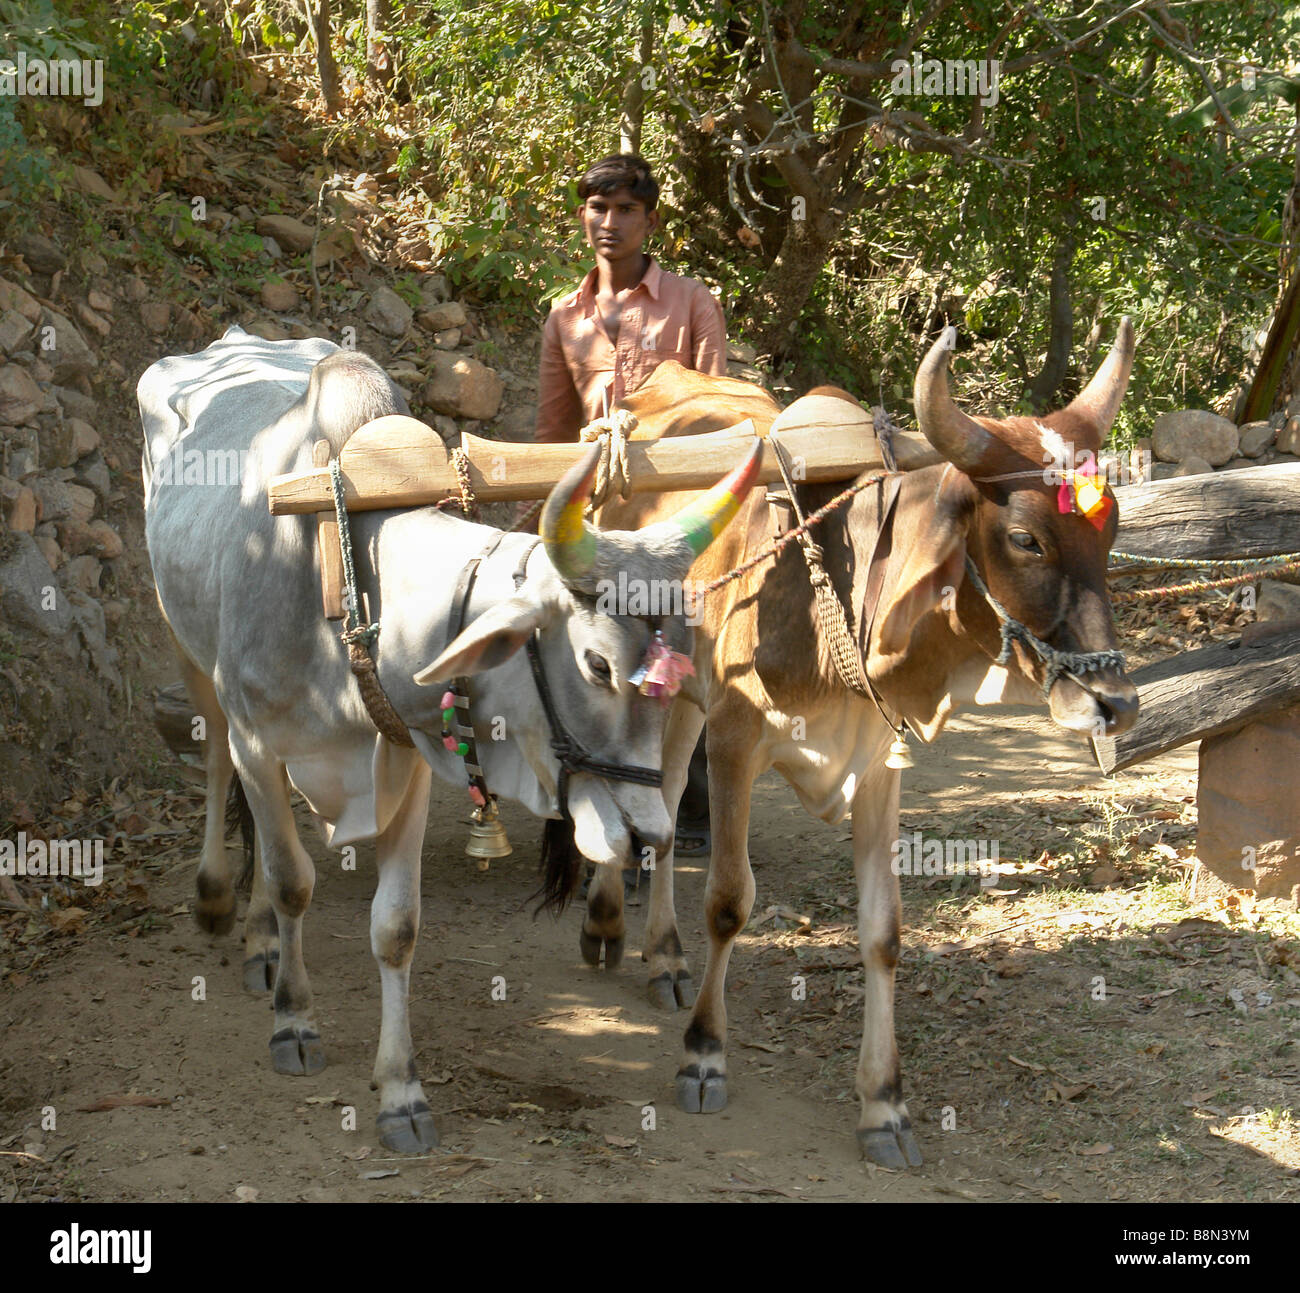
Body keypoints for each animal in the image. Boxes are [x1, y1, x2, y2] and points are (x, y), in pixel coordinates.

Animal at [138, 324, 761, 1152]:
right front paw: (294, 1017)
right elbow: (291, 878)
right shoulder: (261, 743)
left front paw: (401, 1089)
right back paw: (234, 913)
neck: (345, 586)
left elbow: (396, 926)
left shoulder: (403, 756)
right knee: (216, 766)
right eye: (597, 662)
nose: (650, 835)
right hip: (184, 644)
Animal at [580, 321, 1139, 1169]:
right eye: (1024, 537)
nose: (1117, 701)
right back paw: (607, 919)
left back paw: (665, 953)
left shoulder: (878, 765)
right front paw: (705, 1054)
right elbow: (730, 901)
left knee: (668, 802)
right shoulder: (738, 737)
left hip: (685, 693)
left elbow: (884, 932)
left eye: (1109, 531)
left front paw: (885, 1103)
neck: (840, 586)